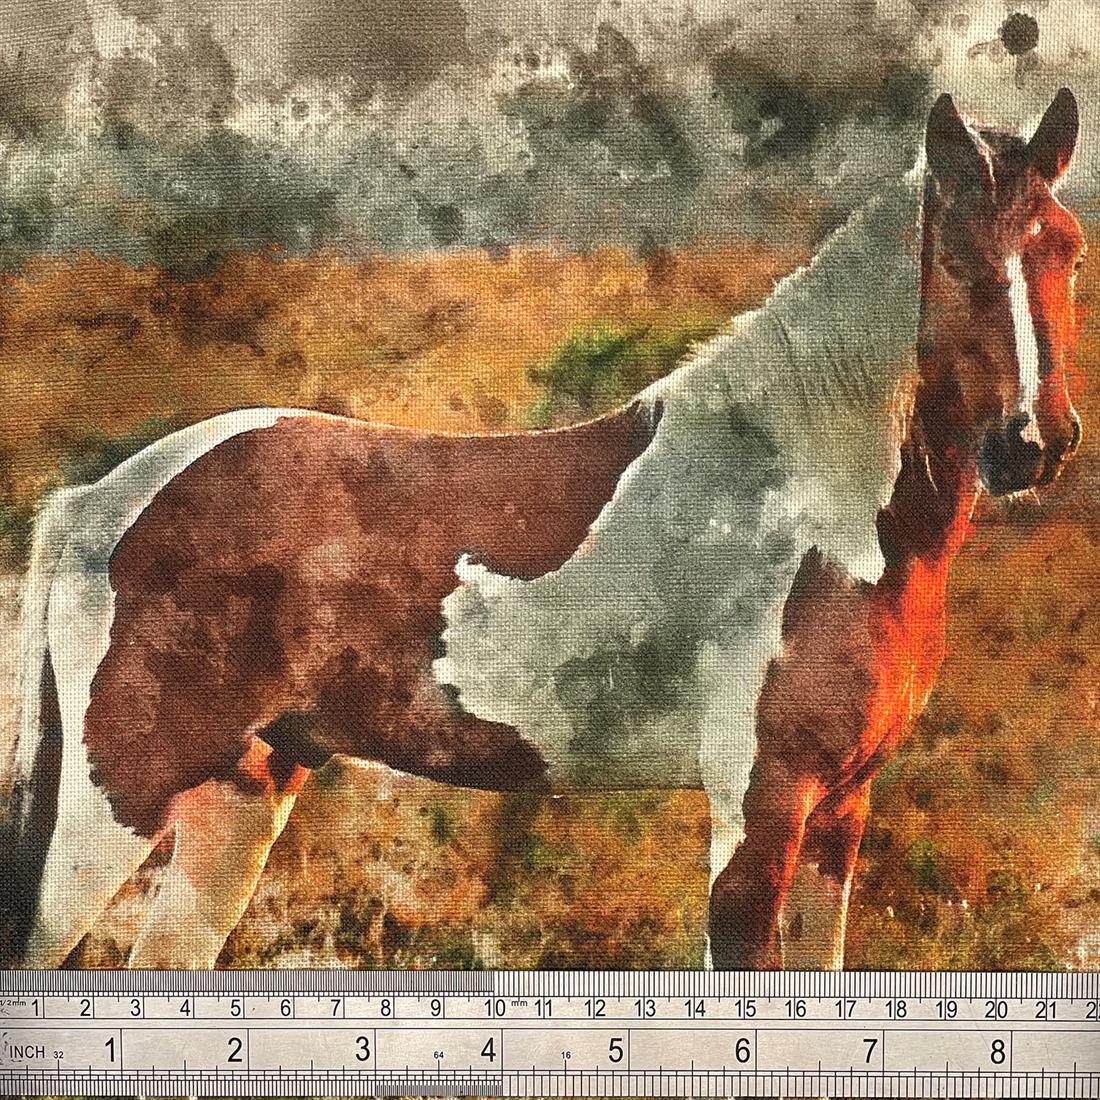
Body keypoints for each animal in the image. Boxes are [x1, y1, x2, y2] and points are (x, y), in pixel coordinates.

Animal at [1, 90, 1084, 971]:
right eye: (953, 259)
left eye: (1066, 249)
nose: (1034, 442)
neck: (810, 507)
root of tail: (98, 499)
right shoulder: (759, 807)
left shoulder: (839, 813)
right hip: (111, 802)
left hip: (241, 795)